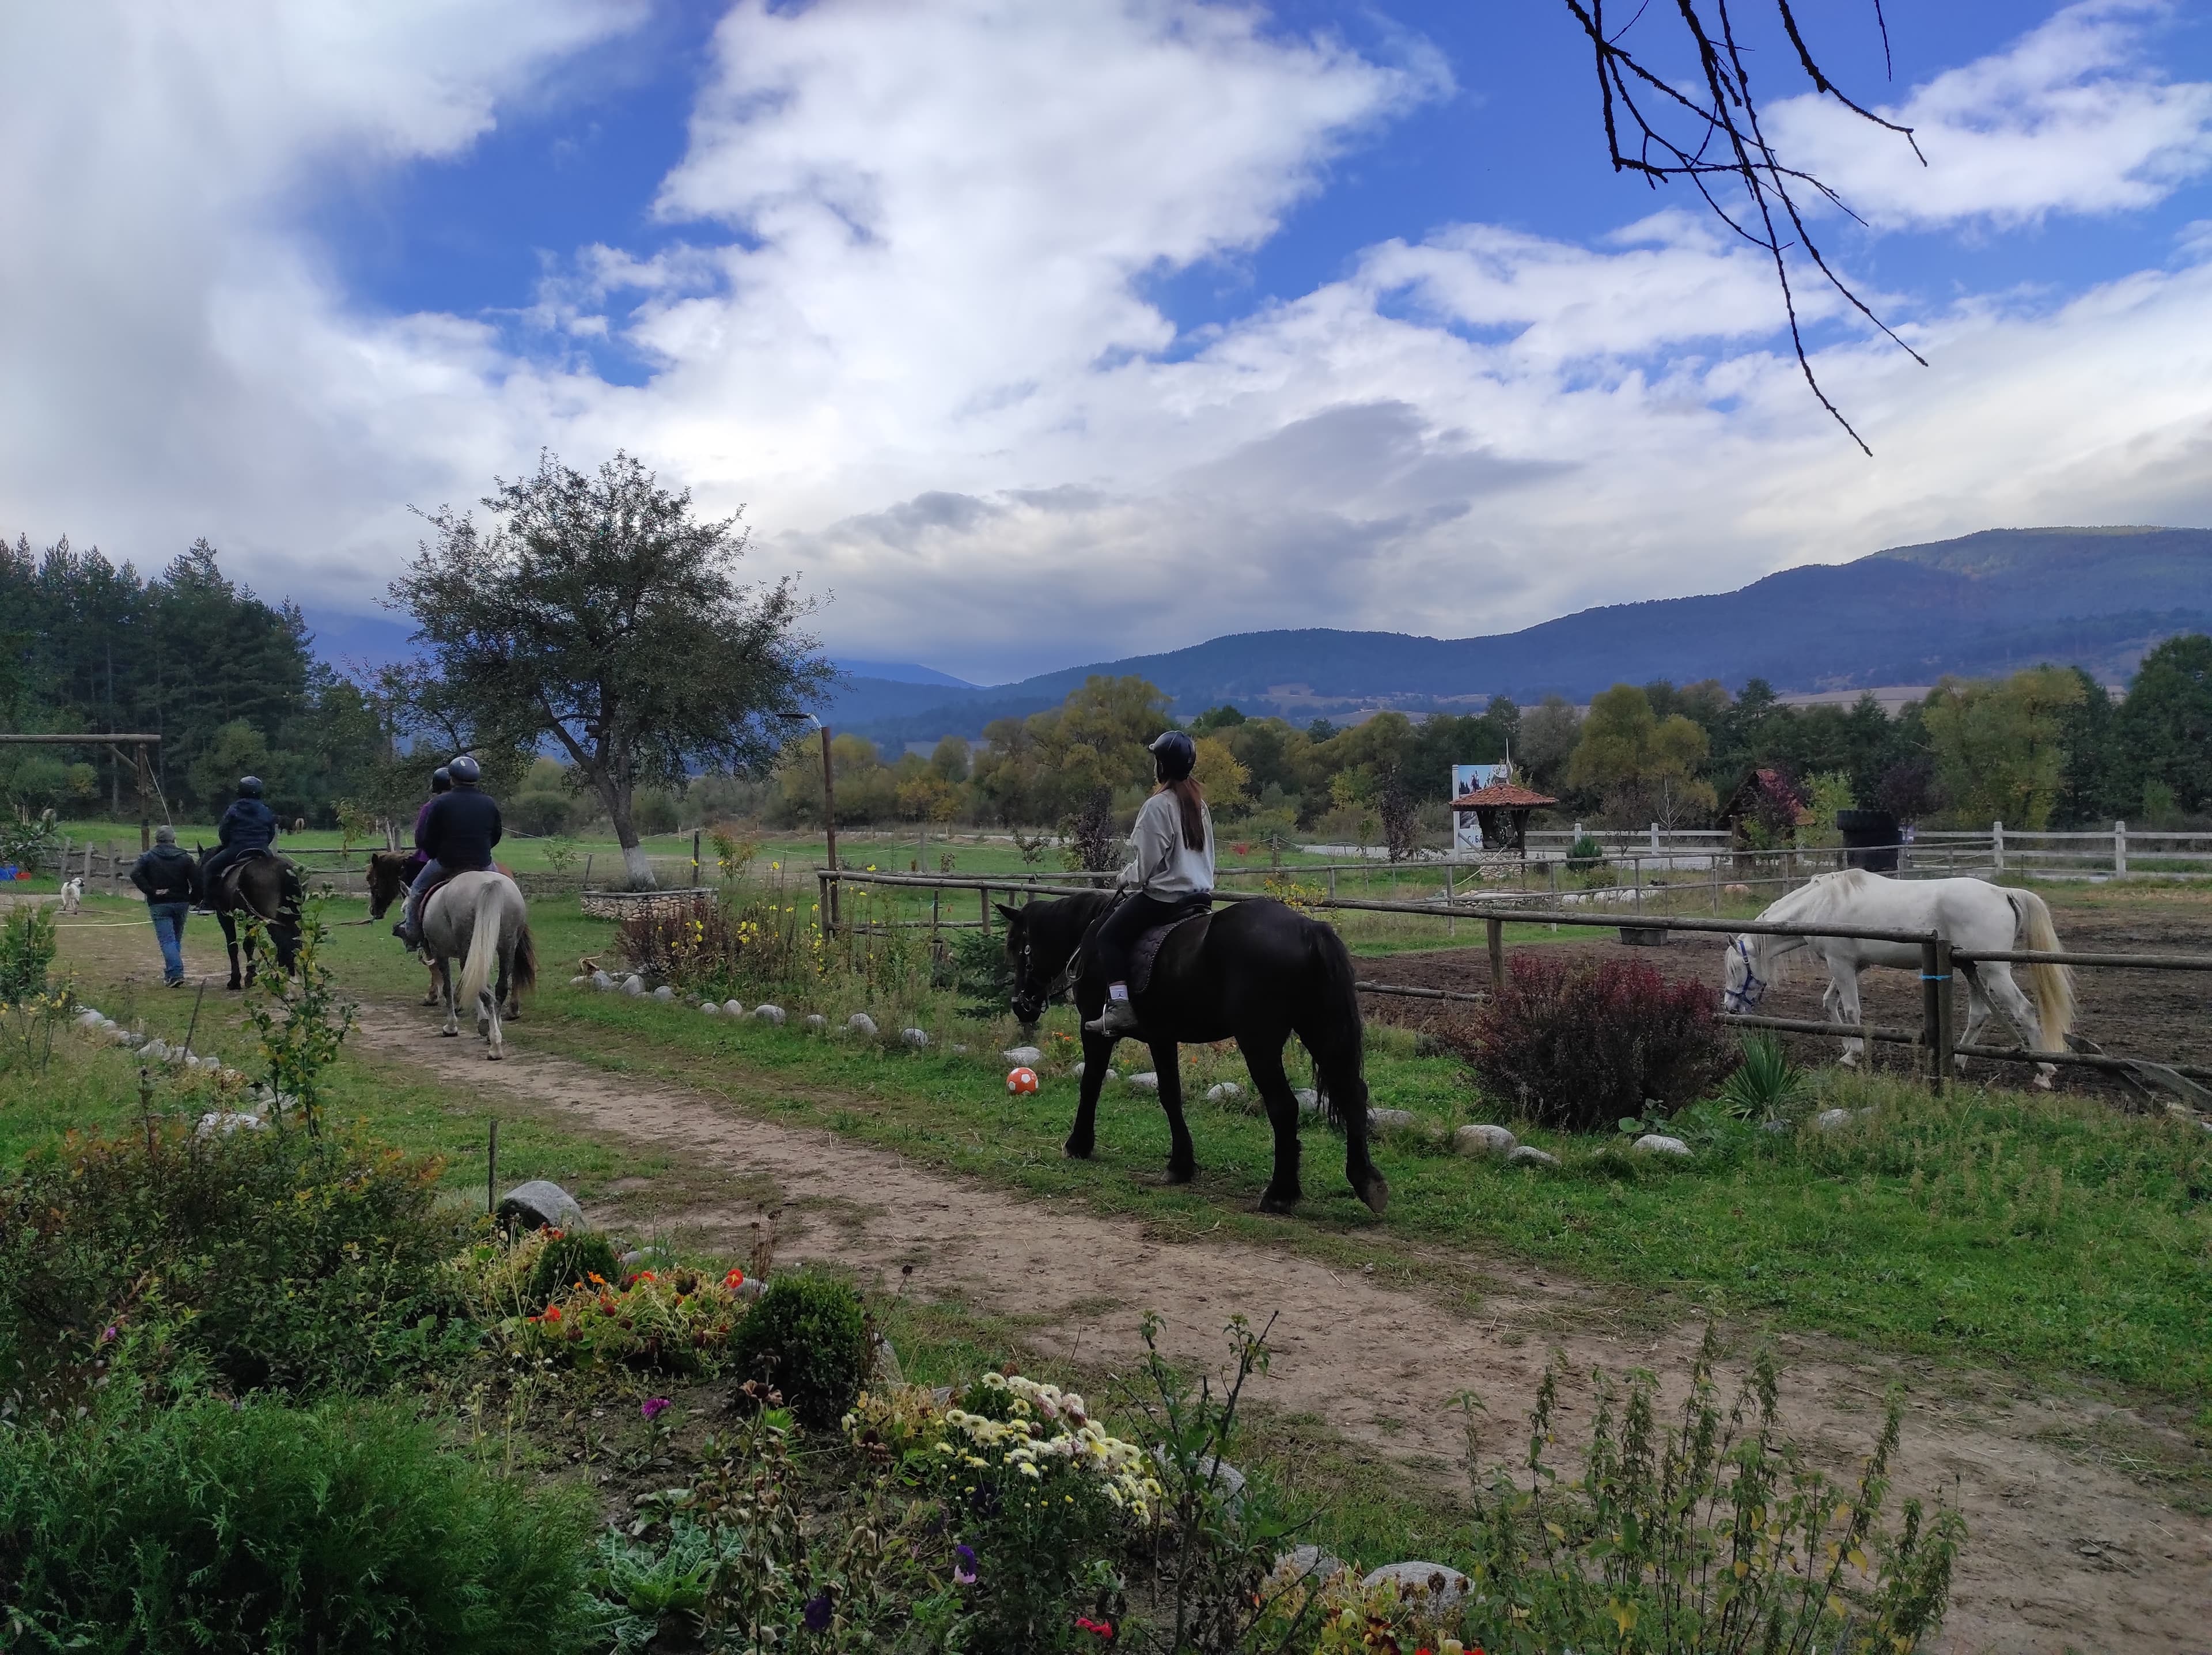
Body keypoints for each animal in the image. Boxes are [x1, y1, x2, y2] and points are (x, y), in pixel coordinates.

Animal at [194, 845, 300, 990]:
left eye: (198, 865)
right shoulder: (251, 920)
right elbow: (249, 944)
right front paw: (251, 976)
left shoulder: (225, 917)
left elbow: (233, 946)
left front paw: (235, 980)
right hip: (291, 918)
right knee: (295, 943)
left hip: (272, 921)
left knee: (283, 944)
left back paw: (282, 983)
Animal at [416, 869, 536, 1057]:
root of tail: (490, 883)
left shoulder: (440, 952)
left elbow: (448, 988)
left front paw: (452, 1026)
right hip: (507, 947)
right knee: (500, 989)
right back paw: (495, 1032)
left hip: (470, 948)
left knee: (484, 990)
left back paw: (495, 1045)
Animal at [999, 891, 1387, 1216]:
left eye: (1016, 946)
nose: (1021, 1006)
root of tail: (1309, 929)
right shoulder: (1161, 1038)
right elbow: (1171, 1095)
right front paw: (1180, 1165)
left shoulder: (1094, 1032)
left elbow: (1091, 1084)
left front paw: (1078, 1144)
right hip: (1321, 1032)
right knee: (1353, 1095)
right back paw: (1366, 1182)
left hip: (1259, 1043)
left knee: (1284, 1107)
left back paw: (1280, 1194)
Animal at [1721, 869, 2076, 1087]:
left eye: (1737, 969)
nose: (1730, 1008)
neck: (1819, 906)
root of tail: (2003, 892)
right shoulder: (1852, 966)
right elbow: (1830, 1003)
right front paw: (1846, 1047)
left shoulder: (1841, 964)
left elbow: (1851, 1010)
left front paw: (1853, 1055)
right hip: (1974, 969)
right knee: (1979, 1015)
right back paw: (1960, 1061)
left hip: (1995, 971)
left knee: (2024, 1011)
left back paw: (2044, 1072)